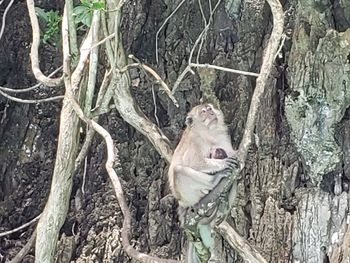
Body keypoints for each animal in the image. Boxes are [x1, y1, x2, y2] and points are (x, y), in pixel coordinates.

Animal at [168, 104, 239, 262]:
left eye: (210, 108)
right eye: (204, 112)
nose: (212, 113)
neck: (208, 134)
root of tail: (182, 203)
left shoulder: (222, 136)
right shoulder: (195, 141)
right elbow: (195, 163)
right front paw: (223, 163)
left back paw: (223, 207)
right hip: (189, 196)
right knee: (179, 171)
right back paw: (214, 181)